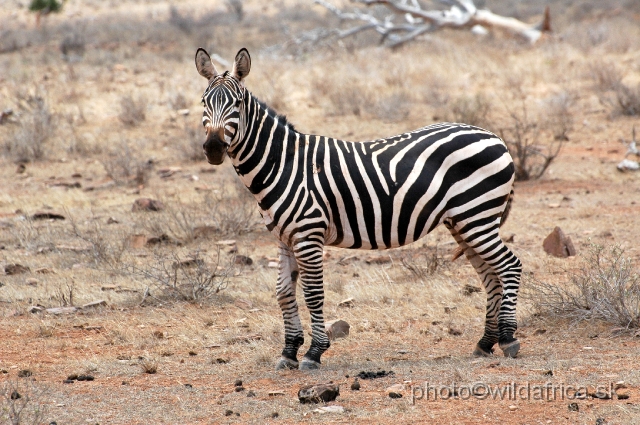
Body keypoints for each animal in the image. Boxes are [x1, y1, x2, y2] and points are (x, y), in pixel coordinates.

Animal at [196, 48, 524, 370]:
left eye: (237, 104)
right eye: (203, 102)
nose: (213, 148)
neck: (283, 164)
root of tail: (493, 136)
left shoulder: (308, 234)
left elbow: (313, 294)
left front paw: (314, 352)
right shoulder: (284, 237)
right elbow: (284, 293)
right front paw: (288, 352)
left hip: (477, 215)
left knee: (509, 265)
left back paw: (508, 339)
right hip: (463, 221)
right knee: (490, 274)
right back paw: (485, 343)